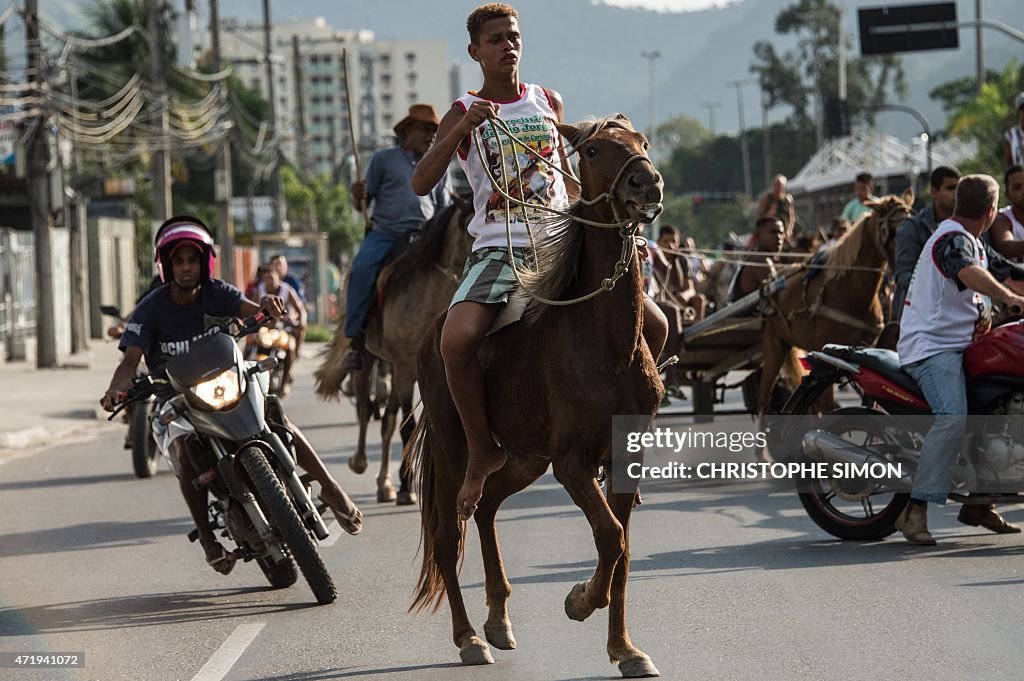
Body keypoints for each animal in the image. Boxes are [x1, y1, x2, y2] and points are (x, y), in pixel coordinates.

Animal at [313, 199, 473, 501]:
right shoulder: (405, 366)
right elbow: (407, 425)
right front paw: (407, 489)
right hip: (370, 360)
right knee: (365, 408)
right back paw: (361, 462)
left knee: (387, 421)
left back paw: (387, 483)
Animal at [405, 114, 663, 675]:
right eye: (593, 150)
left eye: (643, 142)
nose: (646, 184)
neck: (601, 339)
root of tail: (431, 334)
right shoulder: (571, 462)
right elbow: (610, 536)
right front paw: (581, 600)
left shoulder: (623, 457)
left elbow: (622, 549)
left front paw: (624, 648)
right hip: (455, 450)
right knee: (447, 537)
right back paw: (468, 638)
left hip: (523, 458)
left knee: (485, 506)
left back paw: (498, 620)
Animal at [757, 188, 917, 417]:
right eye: (892, 231)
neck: (852, 291)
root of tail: (772, 282)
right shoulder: (822, 346)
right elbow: (826, 403)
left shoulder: (868, 344)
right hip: (774, 342)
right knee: (764, 399)